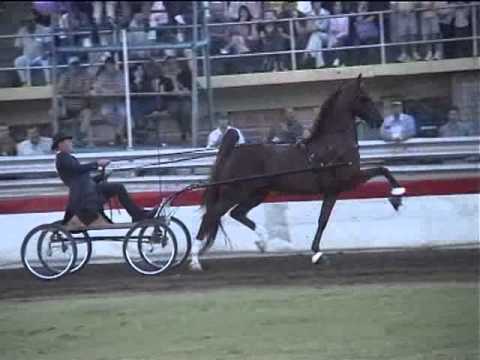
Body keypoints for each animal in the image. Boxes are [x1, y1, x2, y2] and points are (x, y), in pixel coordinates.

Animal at [190, 77, 404, 272]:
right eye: (363, 98)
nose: (380, 121)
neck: (332, 145)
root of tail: (235, 150)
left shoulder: (337, 188)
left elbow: (380, 171)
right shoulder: (345, 182)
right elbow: (324, 219)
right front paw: (397, 196)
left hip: (257, 193)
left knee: (237, 213)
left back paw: (263, 240)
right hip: (234, 192)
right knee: (211, 215)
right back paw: (195, 260)